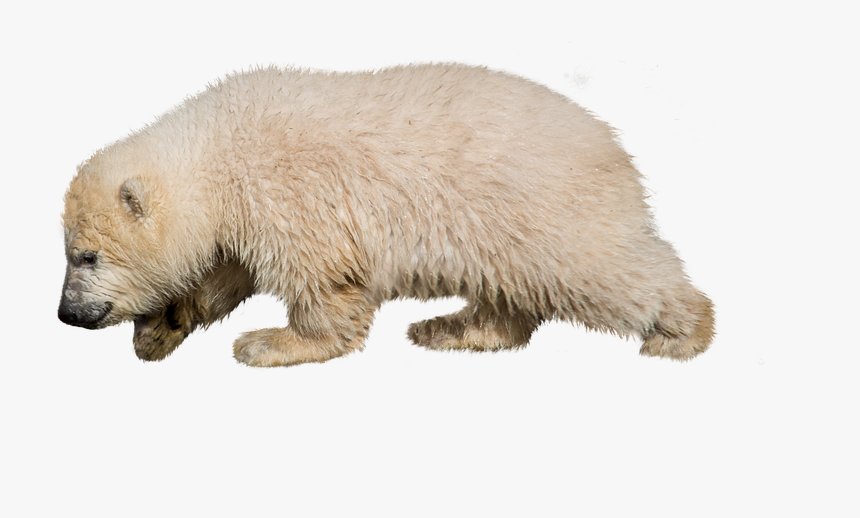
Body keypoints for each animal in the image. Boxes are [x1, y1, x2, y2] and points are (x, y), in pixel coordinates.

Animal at [58, 63, 715, 367]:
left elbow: (324, 283)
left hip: (540, 205)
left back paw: (682, 332)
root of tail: (613, 145)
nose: (67, 314)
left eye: (87, 256)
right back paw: (451, 328)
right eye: (68, 253)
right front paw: (159, 329)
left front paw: (271, 342)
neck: (219, 147)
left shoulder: (289, 194)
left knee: (599, 267)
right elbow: (224, 272)